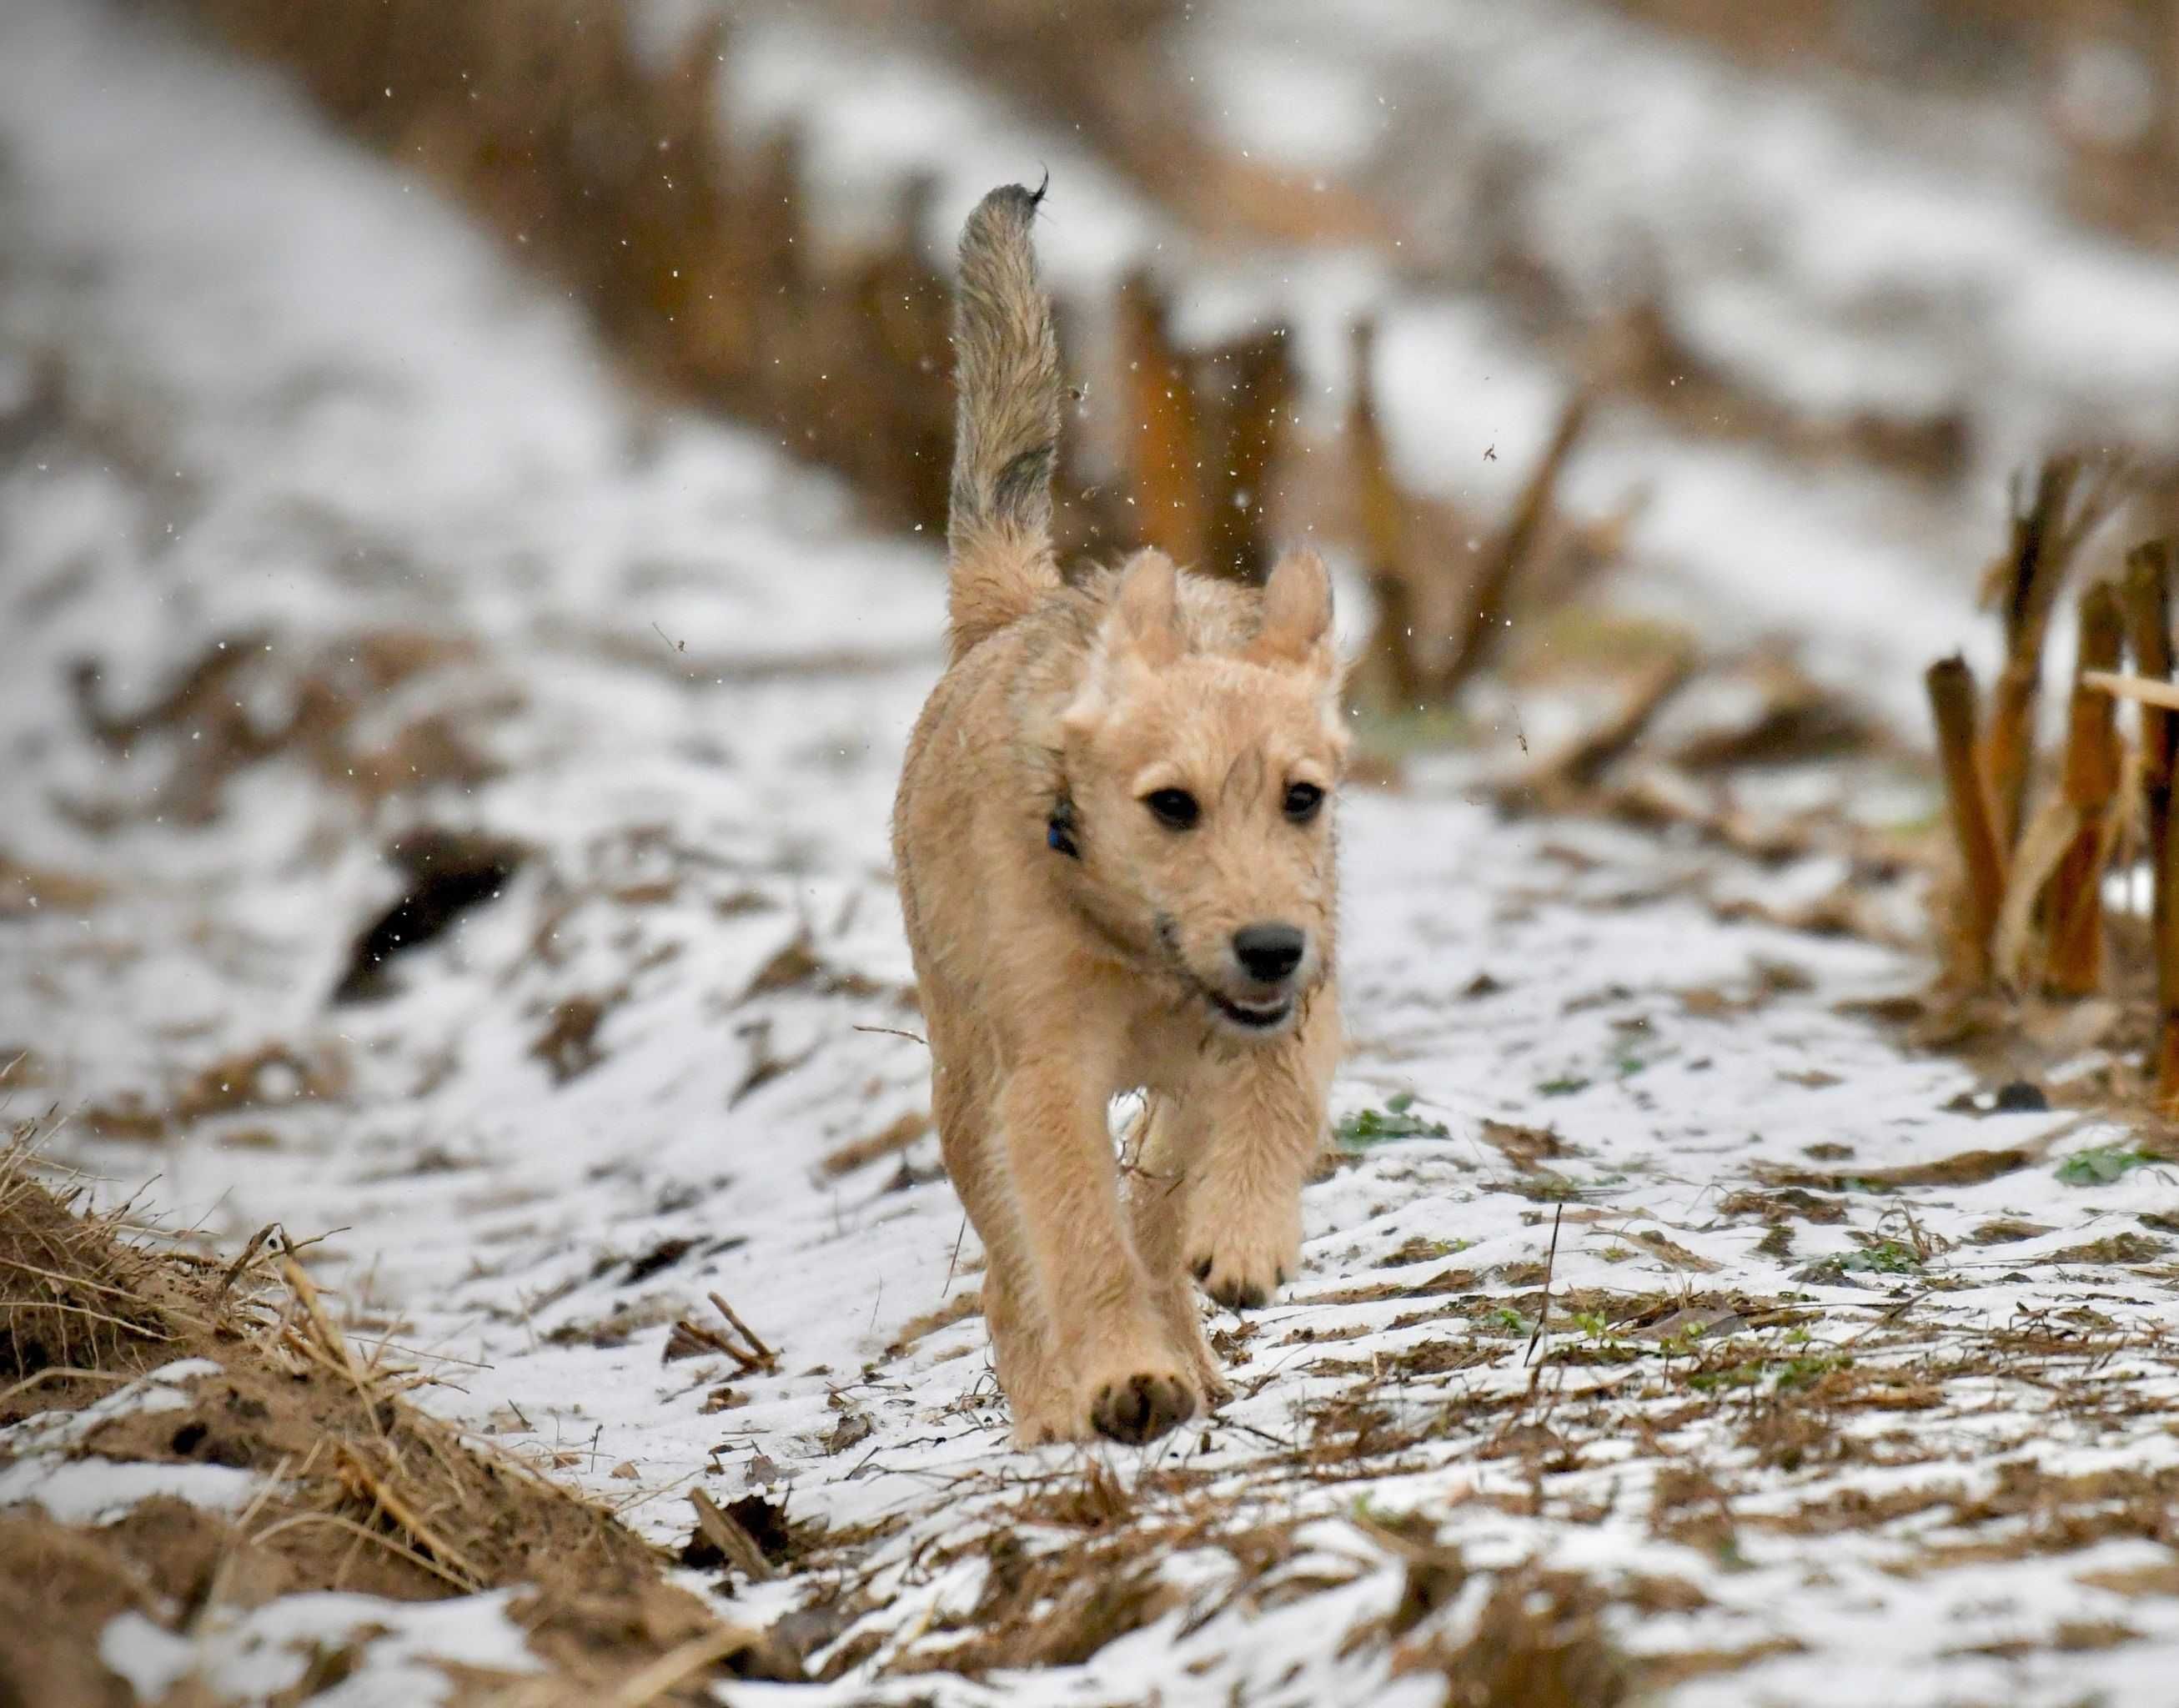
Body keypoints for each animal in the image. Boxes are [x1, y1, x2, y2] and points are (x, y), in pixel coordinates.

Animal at [889, 187, 1342, 1438]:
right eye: (1170, 806)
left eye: (1302, 797)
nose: (1269, 946)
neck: (1144, 955)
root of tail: (1022, 608)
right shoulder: (1047, 1075)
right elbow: (1077, 1236)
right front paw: (1121, 1375)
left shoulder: (1298, 1012)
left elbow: (1273, 1110)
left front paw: (1245, 1238)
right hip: (965, 1082)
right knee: (1012, 1267)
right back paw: (1061, 1400)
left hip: (1171, 1090)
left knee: (1155, 1200)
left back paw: (1192, 1338)